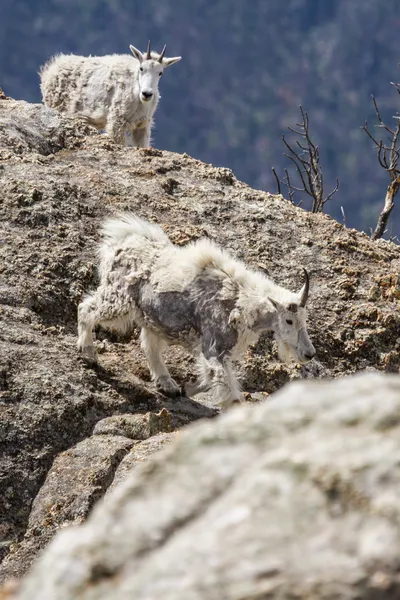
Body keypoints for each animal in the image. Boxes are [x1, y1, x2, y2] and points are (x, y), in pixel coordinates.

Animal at [39, 41, 181, 147]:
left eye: (160, 72)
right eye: (141, 68)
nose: (146, 94)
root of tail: (49, 70)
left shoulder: (142, 126)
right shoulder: (117, 122)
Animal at [77, 214, 316, 408]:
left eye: (304, 319)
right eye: (289, 321)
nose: (309, 354)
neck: (242, 302)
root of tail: (119, 242)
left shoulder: (220, 352)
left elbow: (210, 378)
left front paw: (187, 388)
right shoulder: (214, 347)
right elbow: (224, 387)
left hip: (152, 316)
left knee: (149, 345)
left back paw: (168, 385)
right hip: (118, 299)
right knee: (86, 308)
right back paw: (87, 353)